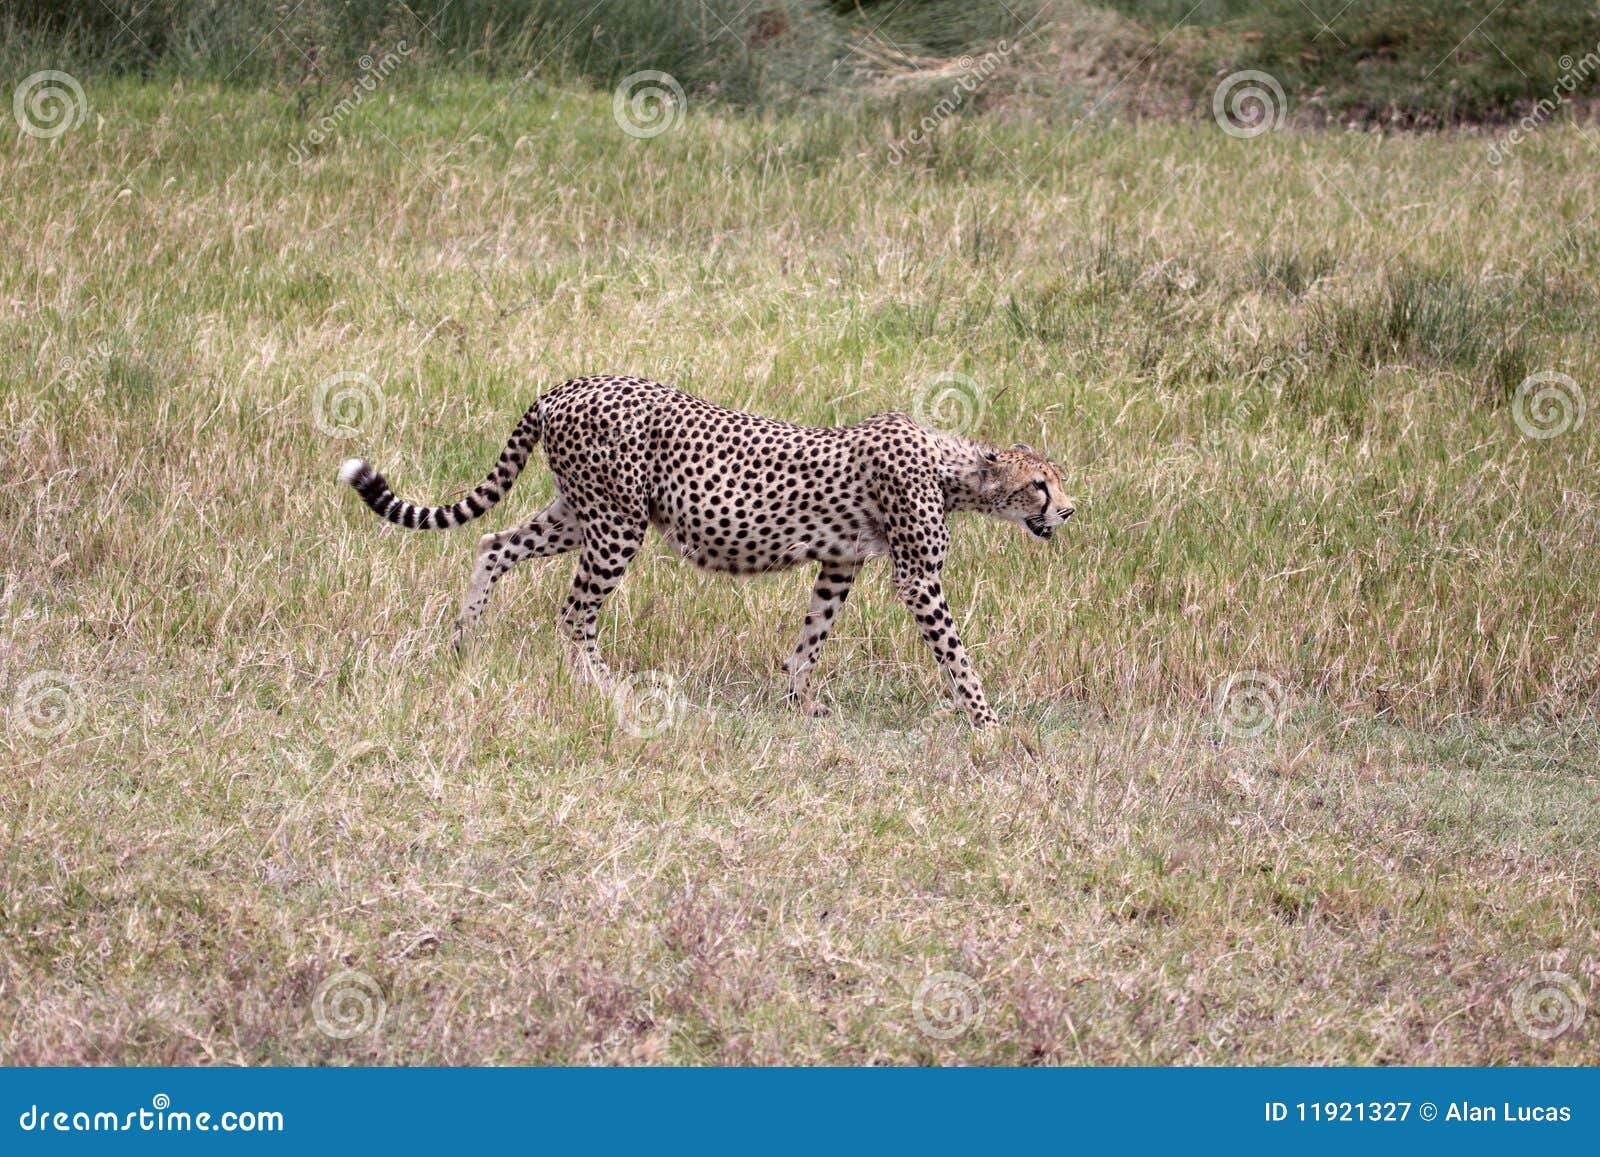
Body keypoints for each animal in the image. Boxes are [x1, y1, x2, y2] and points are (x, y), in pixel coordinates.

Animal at [344, 376, 1081, 729]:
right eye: (1040, 485)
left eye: (1058, 480)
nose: (1069, 510)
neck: (954, 469)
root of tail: (568, 384)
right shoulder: (917, 576)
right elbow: (958, 655)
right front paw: (989, 722)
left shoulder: (840, 564)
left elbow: (811, 637)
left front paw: (799, 702)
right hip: (615, 525)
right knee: (574, 611)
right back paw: (605, 687)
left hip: (581, 514)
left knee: (492, 543)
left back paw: (462, 643)